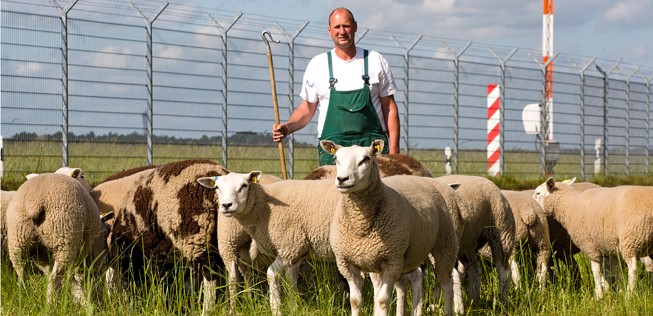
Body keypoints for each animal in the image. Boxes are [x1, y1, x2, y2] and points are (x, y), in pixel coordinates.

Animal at [5, 170, 110, 306]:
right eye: (108, 231)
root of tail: (34, 202)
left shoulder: (47, 262)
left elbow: (68, 281)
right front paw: (87, 303)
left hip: (18, 240)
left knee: (22, 275)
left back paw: (22, 302)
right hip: (64, 238)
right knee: (55, 277)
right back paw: (51, 305)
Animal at [322, 140, 458, 316]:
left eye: (366, 159)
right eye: (336, 159)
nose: (342, 179)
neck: (361, 226)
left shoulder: (391, 262)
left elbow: (382, 300)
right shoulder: (347, 263)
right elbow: (355, 300)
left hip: (443, 245)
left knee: (446, 284)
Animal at [436, 174, 516, 302]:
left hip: (501, 234)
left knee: (504, 271)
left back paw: (502, 301)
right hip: (468, 244)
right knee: (475, 271)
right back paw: (475, 301)